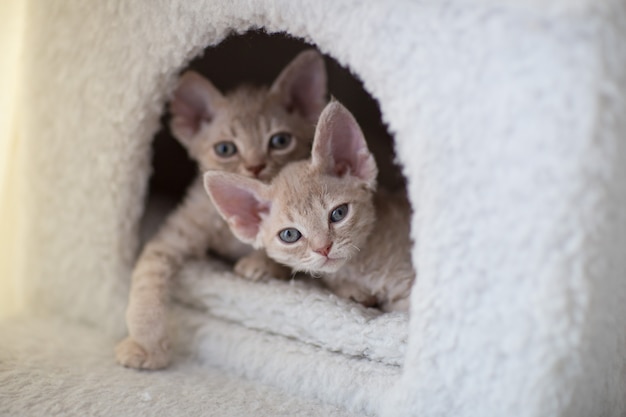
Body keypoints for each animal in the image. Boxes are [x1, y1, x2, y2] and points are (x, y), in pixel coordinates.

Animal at [114, 49, 326, 370]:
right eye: (226, 149)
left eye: (280, 141)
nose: (255, 166)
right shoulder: (170, 240)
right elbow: (145, 279)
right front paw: (146, 345)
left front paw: (260, 263)